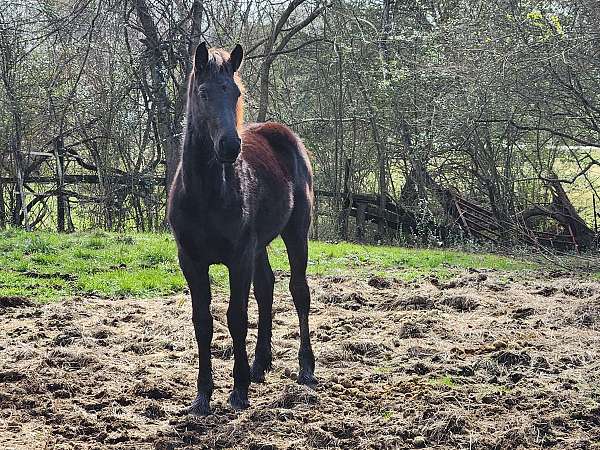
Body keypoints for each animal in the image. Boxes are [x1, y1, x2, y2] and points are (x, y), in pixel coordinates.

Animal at [166, 43, 316, 414]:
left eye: (234, 93)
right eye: (204, 93)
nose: (230, 147)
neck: (206, 194)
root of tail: (283, 134)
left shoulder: (238, 257)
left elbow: (236, 316)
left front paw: (238, 390)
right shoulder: (190, 261)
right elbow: (203, 321)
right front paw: (203, 395)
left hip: (295, 234)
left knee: (298, 291)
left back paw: (306, 367)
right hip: (258, 246)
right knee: (266, 289)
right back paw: (260, 364)